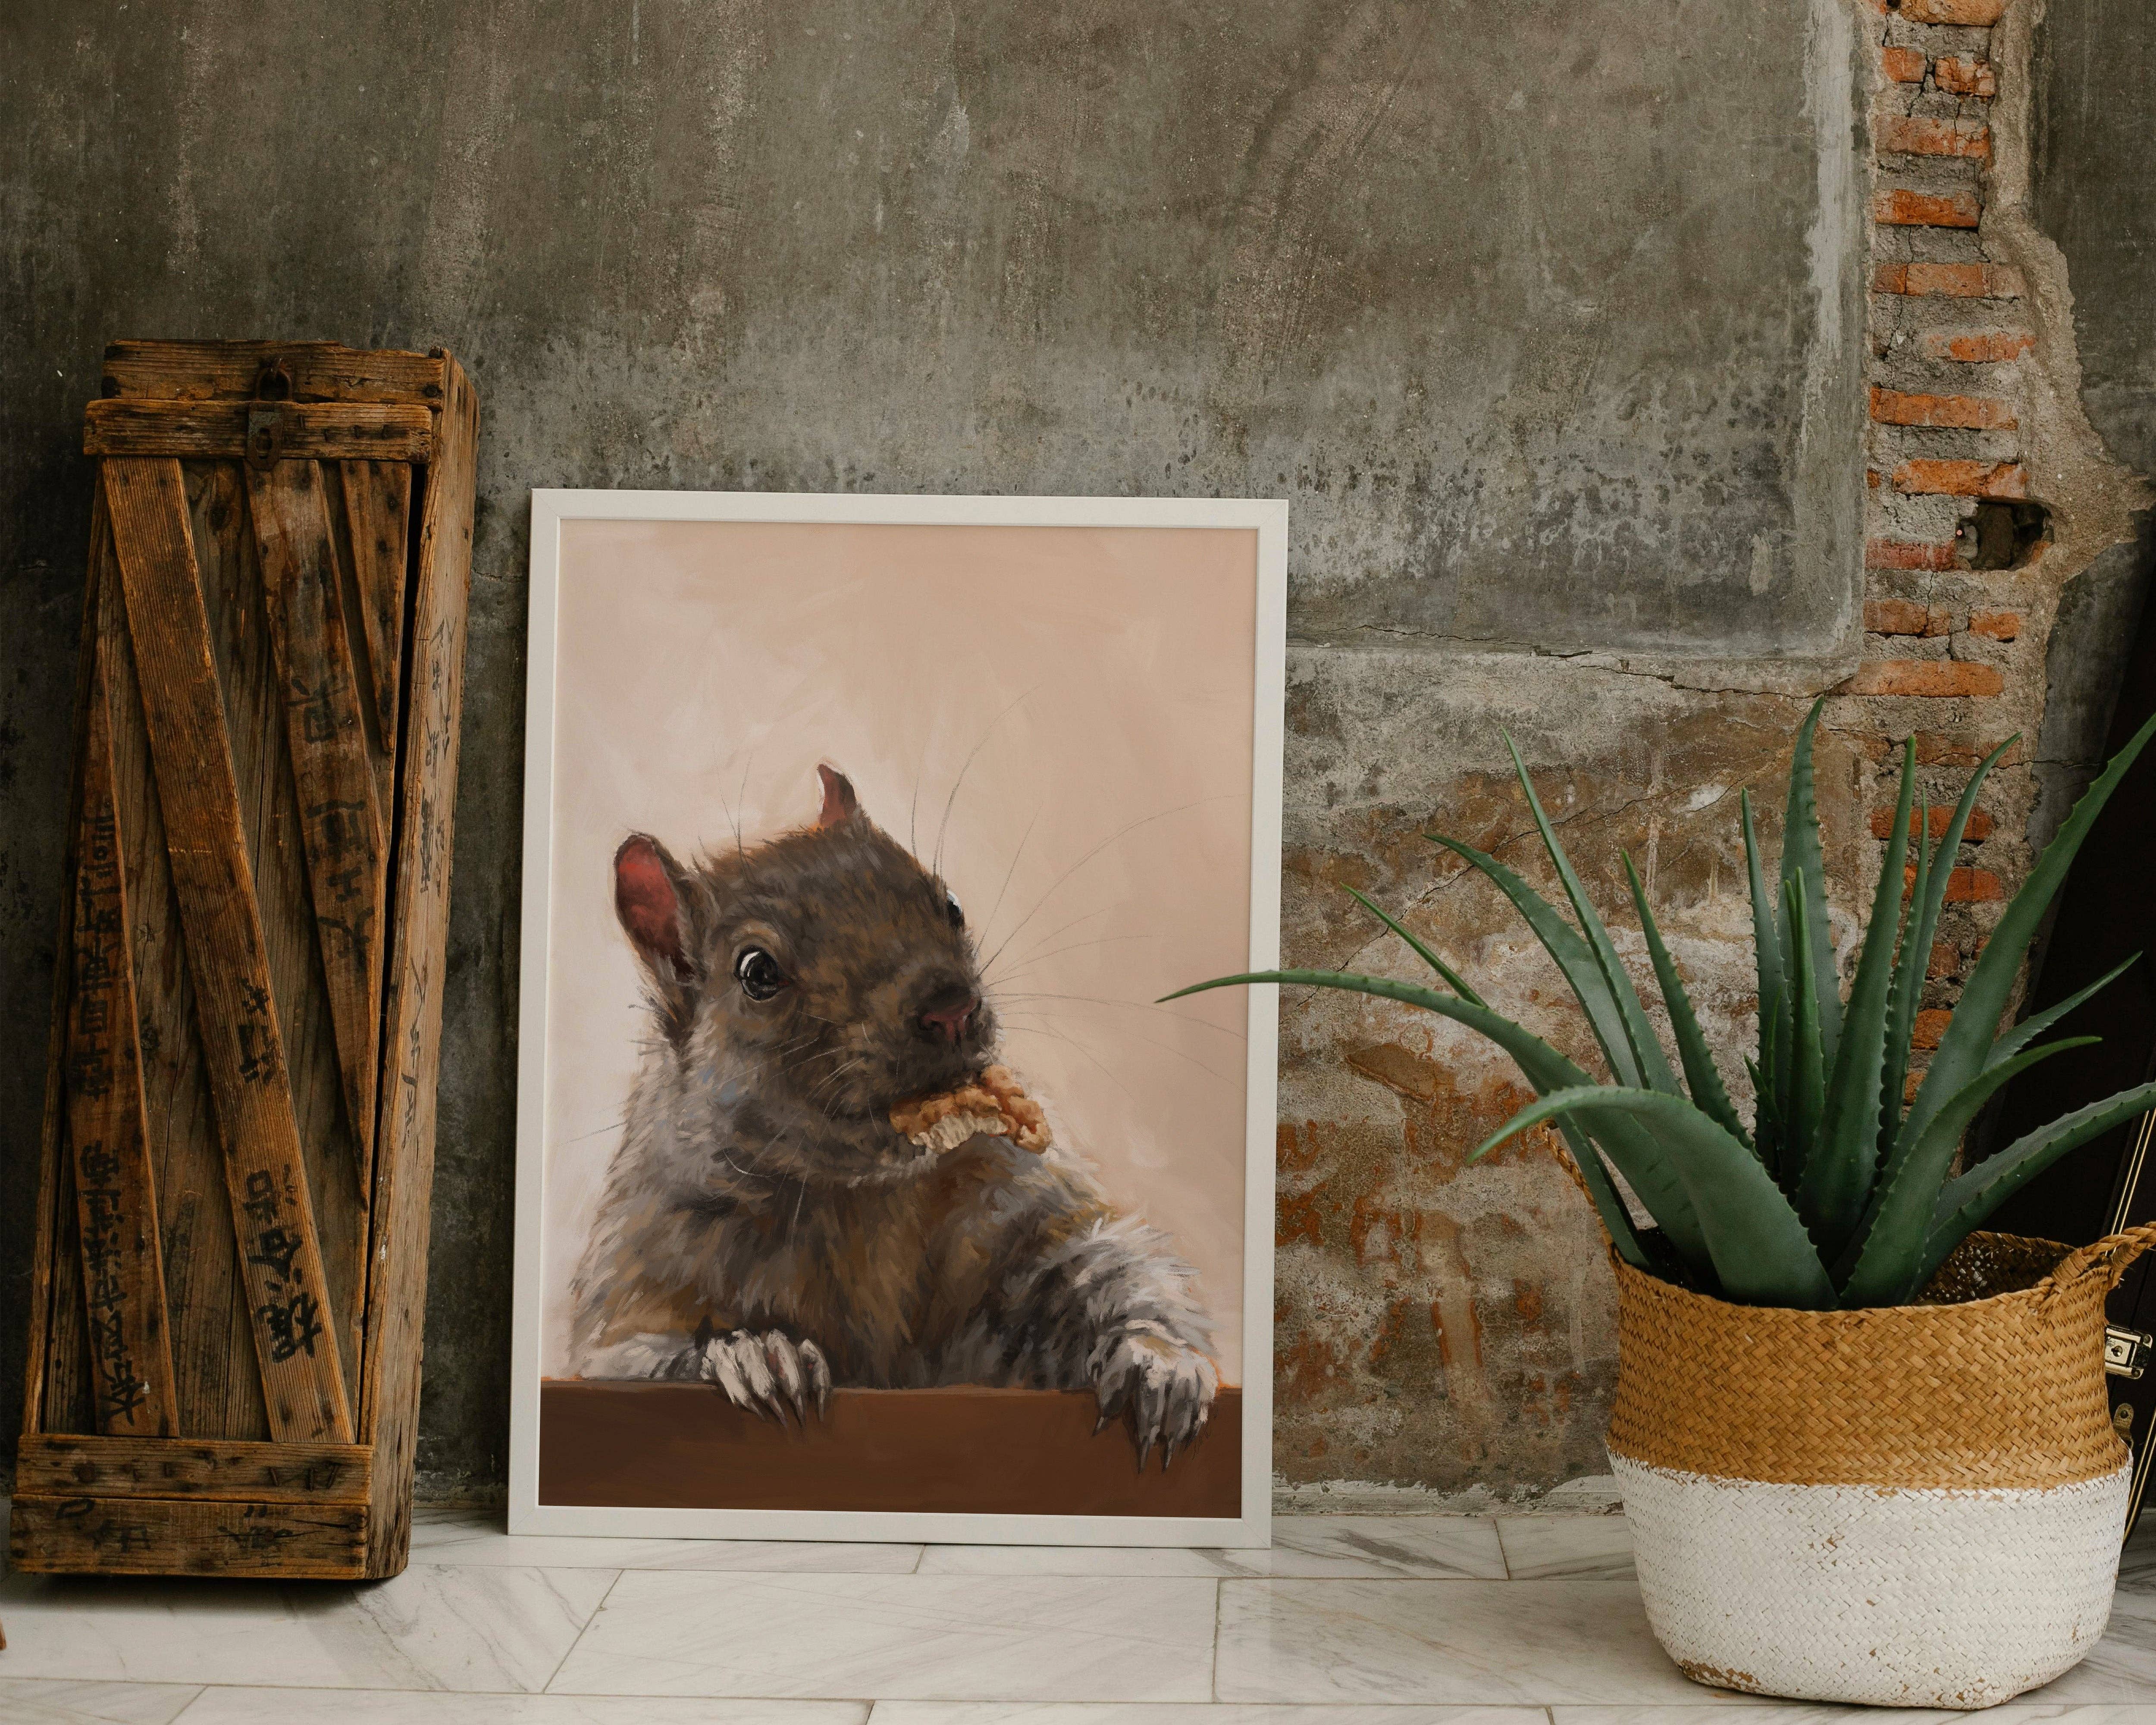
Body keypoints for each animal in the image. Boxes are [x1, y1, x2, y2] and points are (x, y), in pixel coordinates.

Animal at [568, 765, 1218, 1469]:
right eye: (757, 972)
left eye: (951, 904)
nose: (952, 1006)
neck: (861, 1196)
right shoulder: (640, 1277)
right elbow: (628, 1355)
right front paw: (752, 1353)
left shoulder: (1014, 1209)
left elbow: (1104, 1264)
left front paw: (1159, 1361)